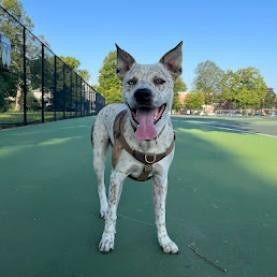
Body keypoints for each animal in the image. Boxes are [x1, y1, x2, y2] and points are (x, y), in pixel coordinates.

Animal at [91, 41, 182, 252]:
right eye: (131, 81)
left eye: (159, 81)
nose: (142, 93)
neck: (147, 144)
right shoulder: (117, 175)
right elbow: (113, 213)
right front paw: (108, 237)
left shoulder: (161, 179)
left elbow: (160, 214)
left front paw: (164, 241)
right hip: (98, 159)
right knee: (101, 188)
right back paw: (104, 208)